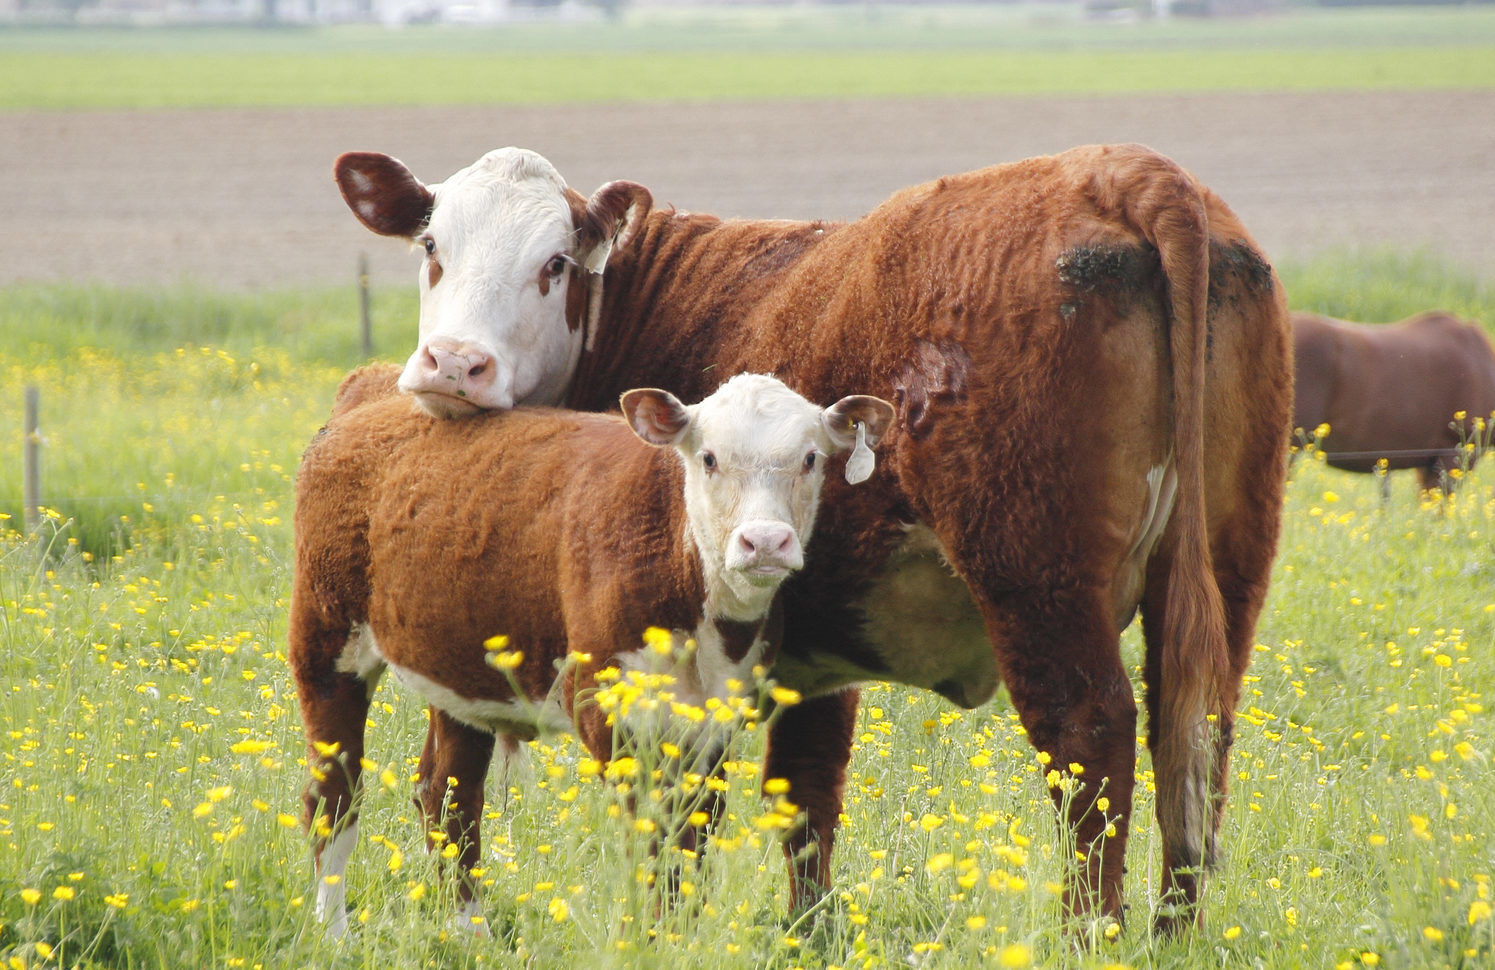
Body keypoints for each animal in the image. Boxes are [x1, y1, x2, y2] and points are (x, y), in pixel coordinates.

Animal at [291, 363, 891, 932]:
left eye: (810, 458)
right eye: (710, 458)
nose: (764, 542)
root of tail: (373, 390)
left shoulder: (716, 727)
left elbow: (692, 842)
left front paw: (679, 937)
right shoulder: (609, 710)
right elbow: (650, 843)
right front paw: (647, 937)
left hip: (458, 665)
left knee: (448, 795)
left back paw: (469, 931)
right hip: (325, 637)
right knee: (335, 795)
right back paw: (333, 931)